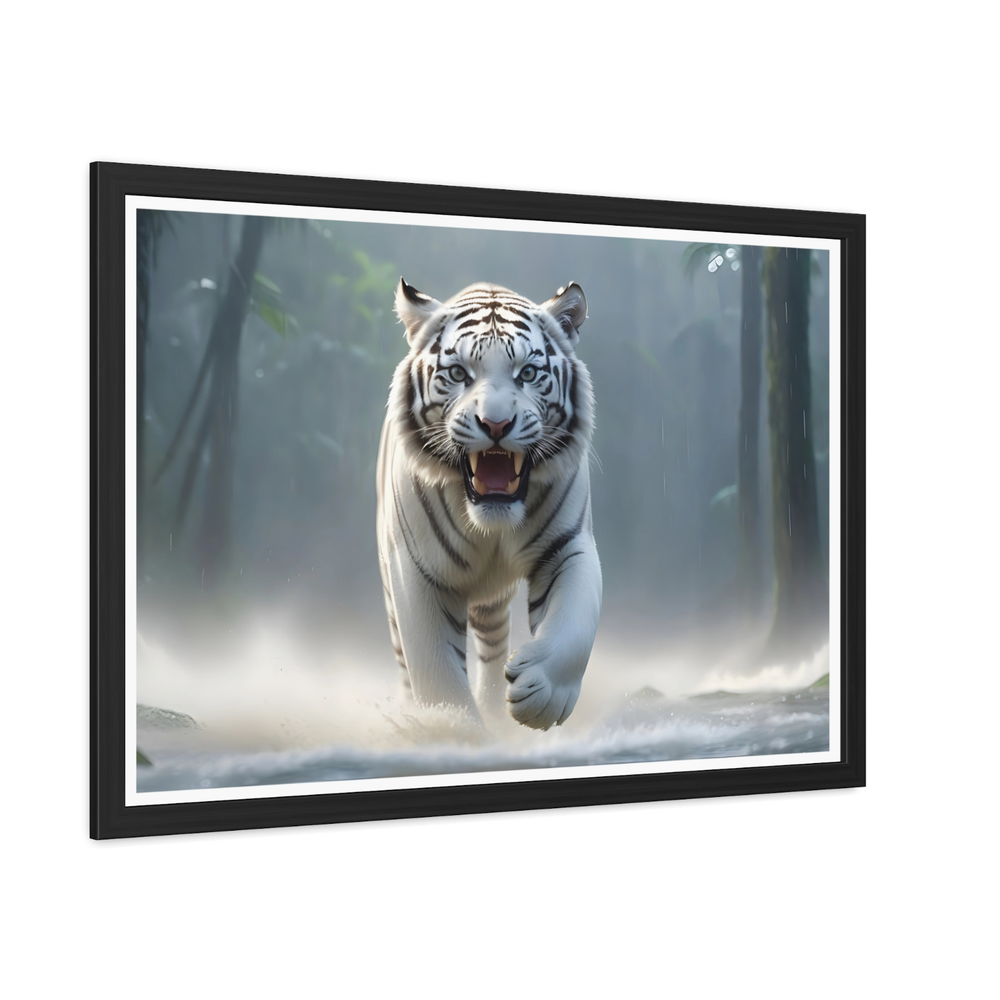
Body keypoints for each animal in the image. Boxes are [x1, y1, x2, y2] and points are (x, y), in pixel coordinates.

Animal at [376, 278, 603, 730]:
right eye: (458, 374)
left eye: (528, 373)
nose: (496, 424)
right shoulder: (417, 570)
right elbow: (437, 673)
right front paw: (452, 728)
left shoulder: (567, 546)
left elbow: (575, 623)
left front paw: (541, 695)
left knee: (493, 644)